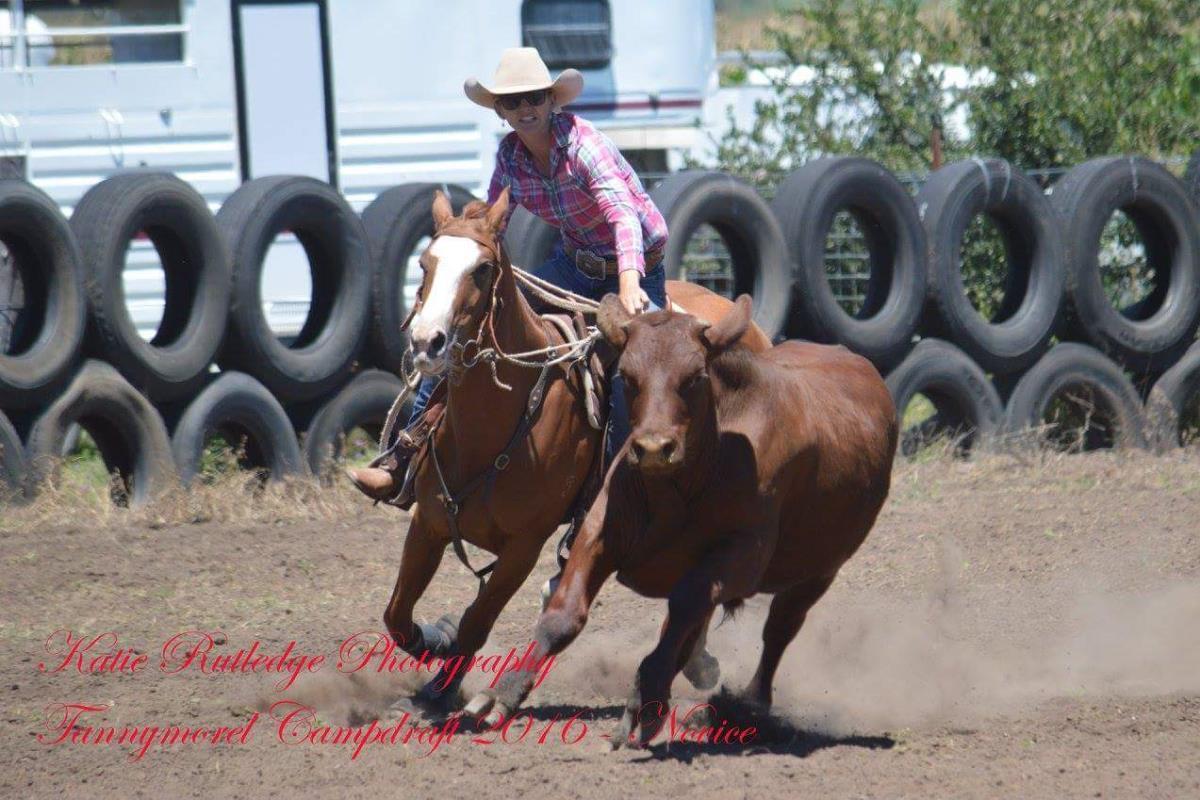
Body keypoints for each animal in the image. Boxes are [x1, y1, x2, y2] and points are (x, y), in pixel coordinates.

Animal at [381, 188, 770, 708]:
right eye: (425, 263)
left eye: (482, 269)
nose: (428, 342)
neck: (494, 427)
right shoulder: (428, 523)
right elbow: (398, 616)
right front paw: (434, 644)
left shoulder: (523, 547)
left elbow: (477, 621)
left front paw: (443, 692)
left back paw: (699, 663)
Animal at [463, 294, 898, 747]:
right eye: (627, 375)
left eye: (694, 377)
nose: (654, 448)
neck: (687, 478)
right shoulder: (600, 531)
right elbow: (563, 616)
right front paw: (501, 695)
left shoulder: (742, 554)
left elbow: (686, 606)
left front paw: (646, 701)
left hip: (819, 571)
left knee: (777, 630)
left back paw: (747, 707)